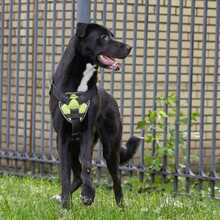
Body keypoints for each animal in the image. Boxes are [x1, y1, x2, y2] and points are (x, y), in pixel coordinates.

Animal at [49, 23, 139, 209]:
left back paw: (121, 206)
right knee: (76, 176)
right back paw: (62, 197)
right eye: (104, 37)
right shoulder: (62, 138)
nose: (129, 47)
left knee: (116, 178)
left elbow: (87, 164)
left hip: (110, 146)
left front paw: (88, 195)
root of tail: (110, 97)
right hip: (73, 146)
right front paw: (65, 205)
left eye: (112, 35)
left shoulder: (87, 133)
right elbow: (64, 174)